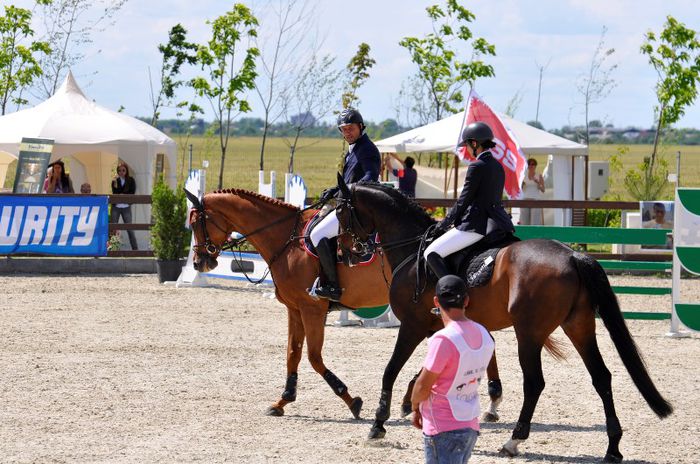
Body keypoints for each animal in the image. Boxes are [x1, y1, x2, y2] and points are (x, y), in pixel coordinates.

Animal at [185, 187, 394, 418]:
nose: (198, 263)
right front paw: (283, 400)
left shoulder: (311, 308)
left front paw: (350, 400)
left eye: (196, 223)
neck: (287, 240)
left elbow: (314, 357)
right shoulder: (294, 308)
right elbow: (293, 353)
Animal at [334, 179, 672, 462]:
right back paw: (612, 447)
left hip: (529, 333)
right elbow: (426, 369)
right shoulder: (442, 327)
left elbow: (390, 370)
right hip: (579, 327)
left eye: (340, 212)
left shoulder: (413, 326)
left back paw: (514, 441)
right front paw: (410, 402)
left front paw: (378, 424)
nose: (346, 253)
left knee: (535, 382)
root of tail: (573, 256)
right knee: (601, 377)